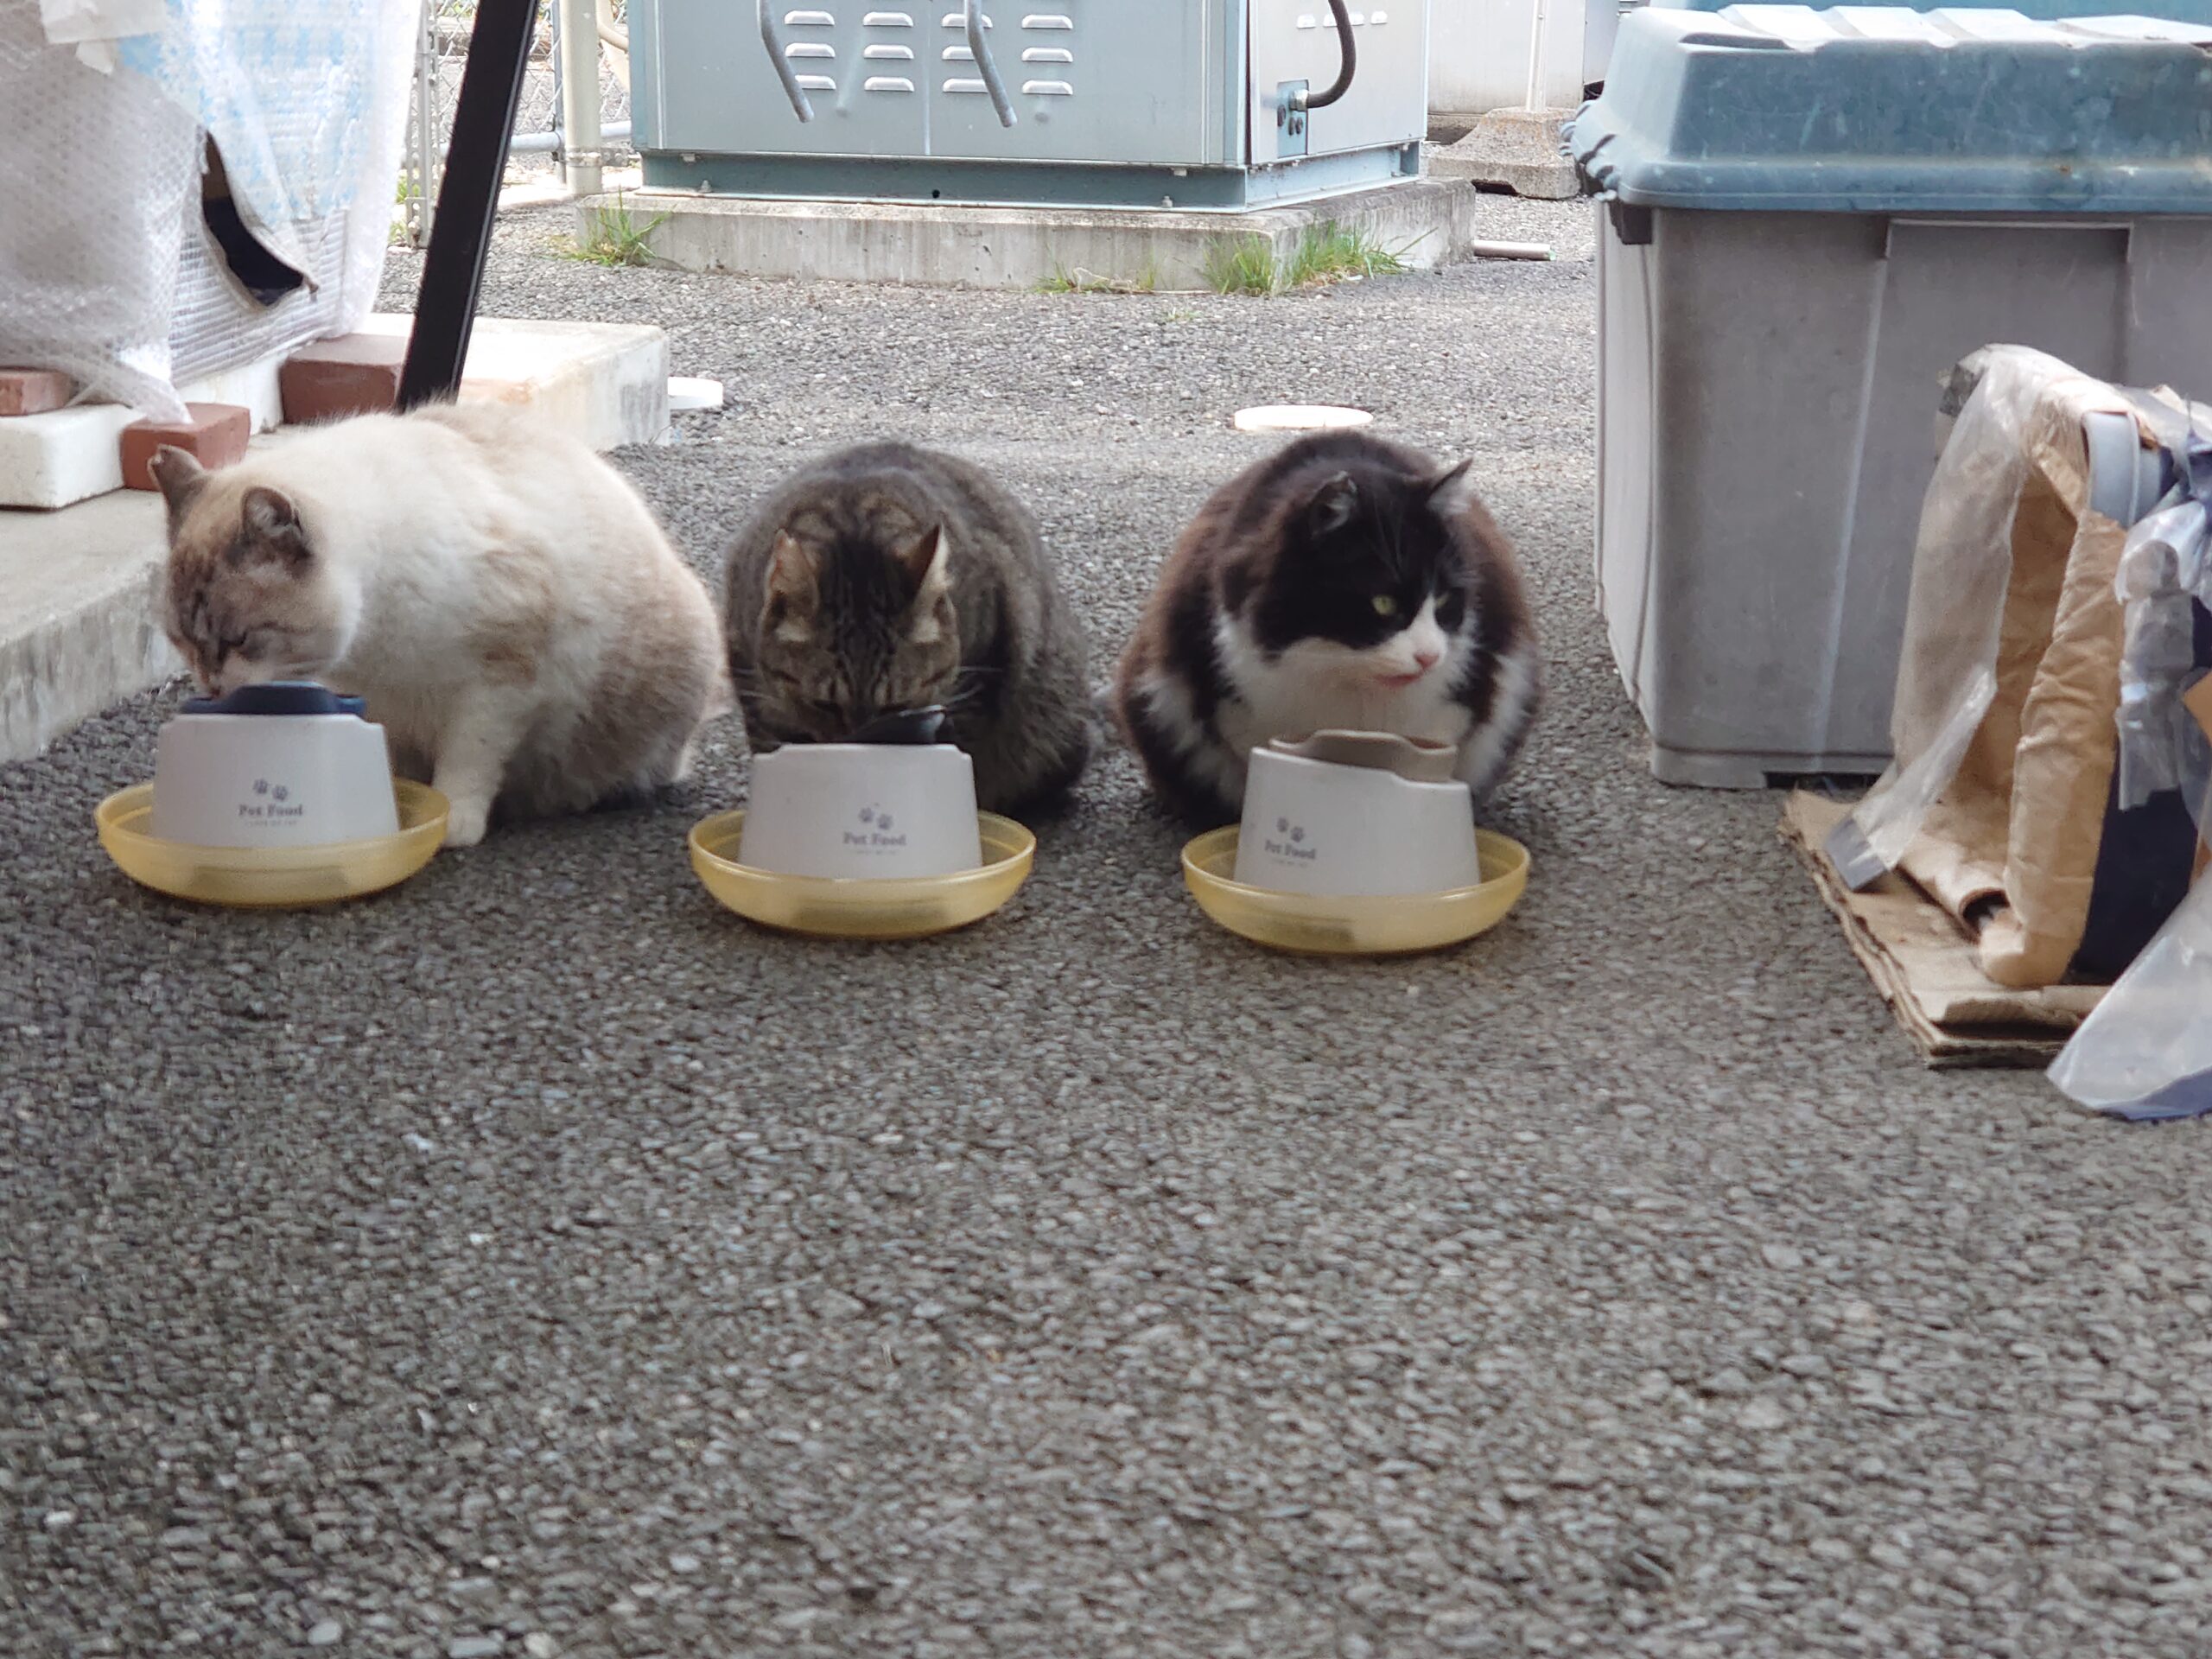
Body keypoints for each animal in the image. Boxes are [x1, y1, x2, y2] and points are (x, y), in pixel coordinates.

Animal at [151, 401, 726, 848]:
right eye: (183, 642)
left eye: (239, 639)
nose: (212, 688)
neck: (372, 636)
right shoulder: (378, 700)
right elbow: (392, 766)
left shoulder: (501, 682)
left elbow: (468, 760)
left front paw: (449, 822)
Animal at [1114, 430, 1541, 826]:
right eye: (1383, 603)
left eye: (1444, 601)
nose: (1428, 656)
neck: (1344, 670)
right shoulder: (1234, 704)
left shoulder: (1456, 706)